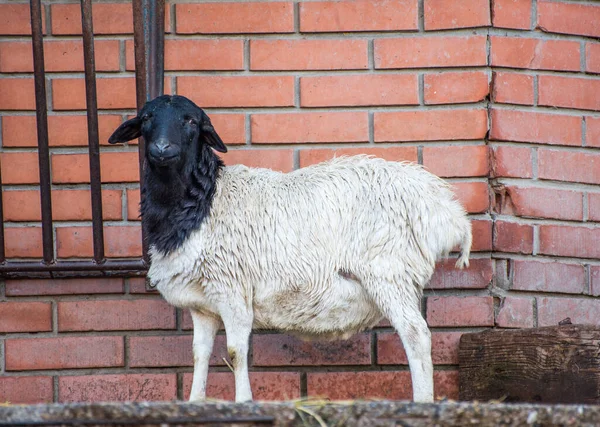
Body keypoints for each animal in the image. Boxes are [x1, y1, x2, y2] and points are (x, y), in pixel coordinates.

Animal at [108, 94, 474, 404]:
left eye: (191, 121)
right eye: (146, 118)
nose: (162, 148)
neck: (201, 202)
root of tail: (443, 207)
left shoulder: (233, 290)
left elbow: (236, 352)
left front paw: (243, 402)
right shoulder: (204, 303)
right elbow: (200, 353)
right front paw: (196, 402)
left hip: (389, 272)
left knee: (417, 336)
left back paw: (423, 402)